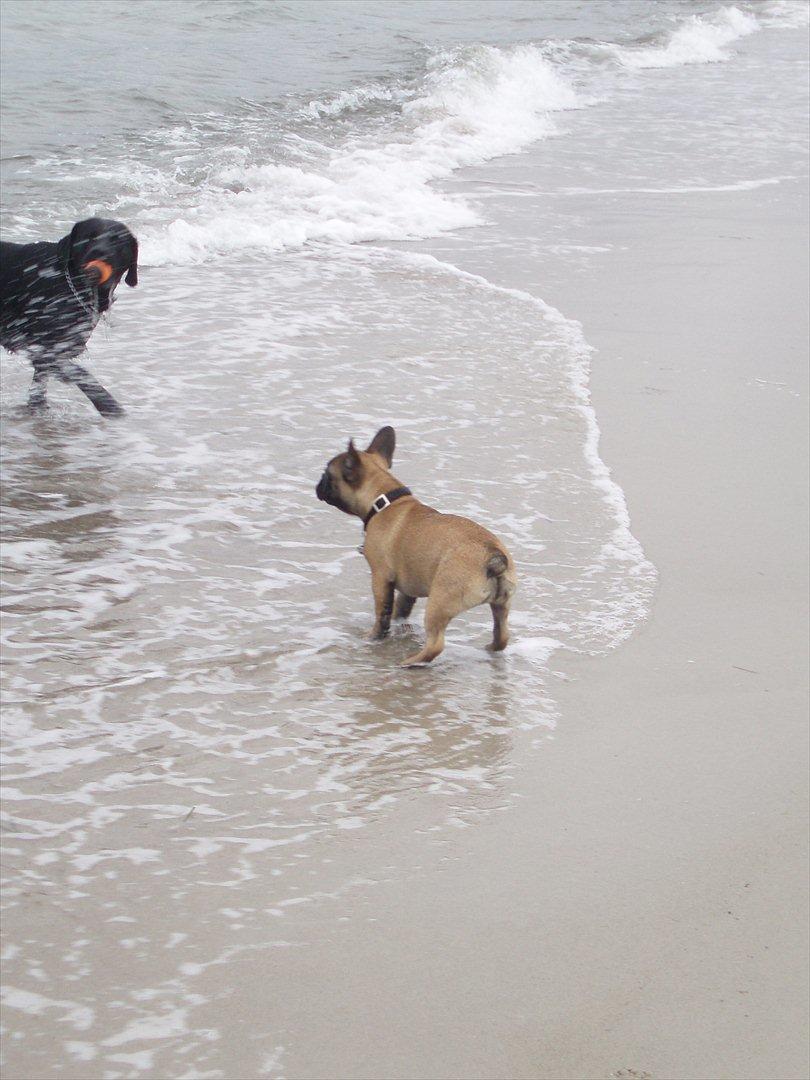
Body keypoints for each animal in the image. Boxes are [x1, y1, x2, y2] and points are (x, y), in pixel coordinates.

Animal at [0, 219, 138, 416]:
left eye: (117, 240)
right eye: (88, 237)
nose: (99, 252)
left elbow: (39, 388)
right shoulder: (45, 348)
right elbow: (82, 375)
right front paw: (109, 406)